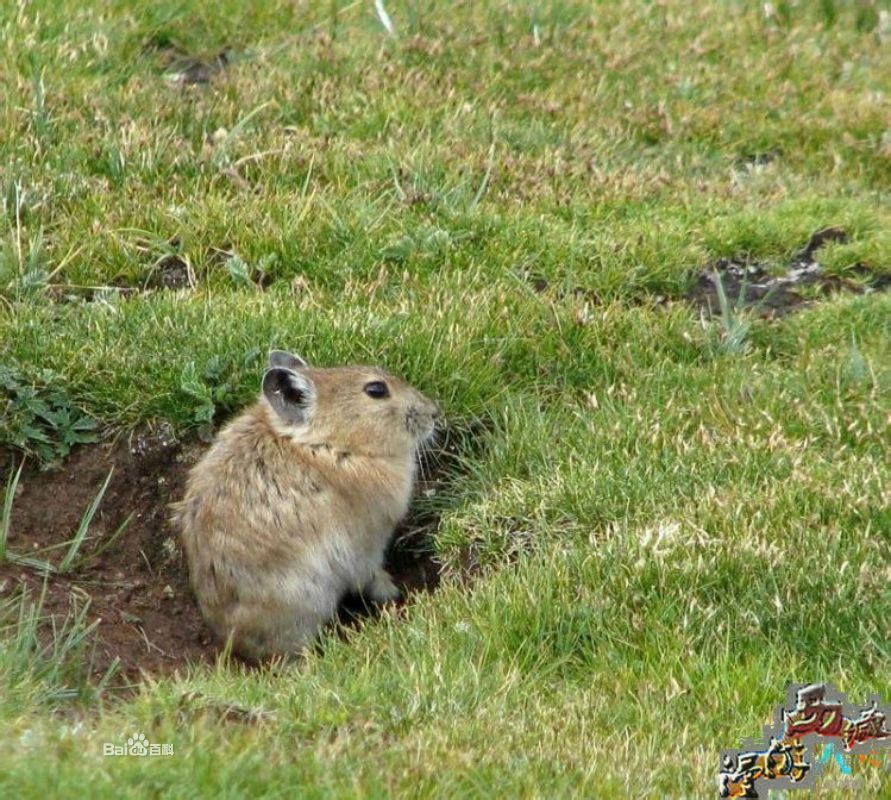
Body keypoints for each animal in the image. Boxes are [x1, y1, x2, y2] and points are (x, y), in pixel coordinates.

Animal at [173, 350, 440, 660]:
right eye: (376, 390)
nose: (434, 412)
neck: (326, 443)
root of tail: (233, 641)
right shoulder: (365, 546)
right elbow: (371, 575)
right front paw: (393, 593)